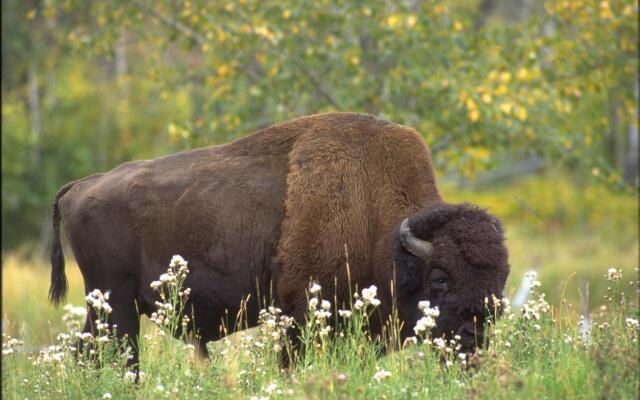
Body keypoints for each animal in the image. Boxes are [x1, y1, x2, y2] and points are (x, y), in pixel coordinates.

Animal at [48, 111, 510, 368]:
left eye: (500, 283)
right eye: (441, 278)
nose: (474, 337)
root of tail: (81, 186)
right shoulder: (300, 314)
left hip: (108, 309)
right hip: (116, 306)